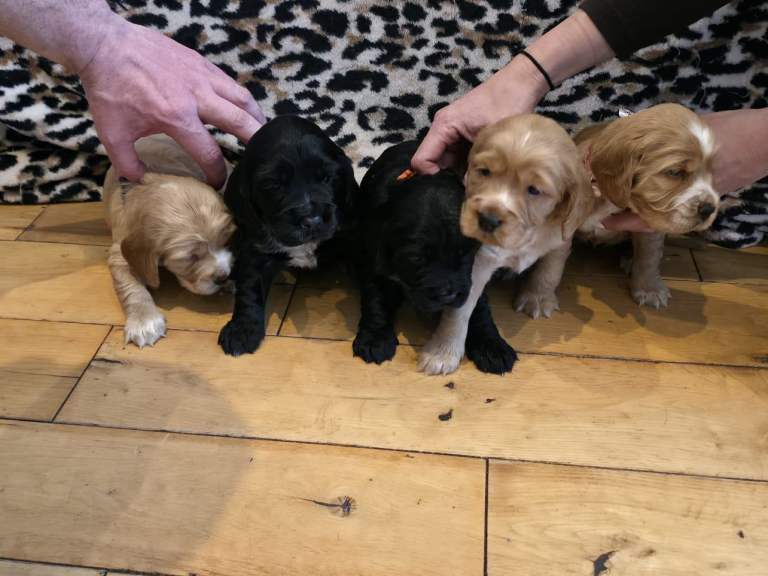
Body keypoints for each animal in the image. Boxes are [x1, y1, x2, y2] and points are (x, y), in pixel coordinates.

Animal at [104, 135, 235, 348]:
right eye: (190, 258)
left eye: (228, 240)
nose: (224, 277)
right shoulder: (120, 254)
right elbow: (130, 286)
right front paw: (144, 321)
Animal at [218, 115, 358, 356]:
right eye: (274, 184)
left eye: (327, 178)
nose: (312, 221)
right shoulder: (256, 250)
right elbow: (249, 289)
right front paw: (242, 331)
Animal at [353, 141, 517, 374]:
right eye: (417, 259)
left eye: (466, 251)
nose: (448, 295)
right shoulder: (372, 257)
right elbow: (375, 297)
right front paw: (375, 339)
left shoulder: (472, 275)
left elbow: (479, 307)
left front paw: (492, 346)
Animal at [419, 114, 594, 375]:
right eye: (484, 172)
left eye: (534, 190)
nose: (487, 220)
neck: (524, 236)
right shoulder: (480, 261)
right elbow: (458, 312)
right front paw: (442, 352)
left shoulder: (561, 237)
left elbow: (550, 271)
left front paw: (537, 298)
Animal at [573, 103, 718, 308]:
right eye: (675, 172)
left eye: (711, 172)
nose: (709, 209)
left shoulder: (648, 224)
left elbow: (648, 256)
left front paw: (649, 290)